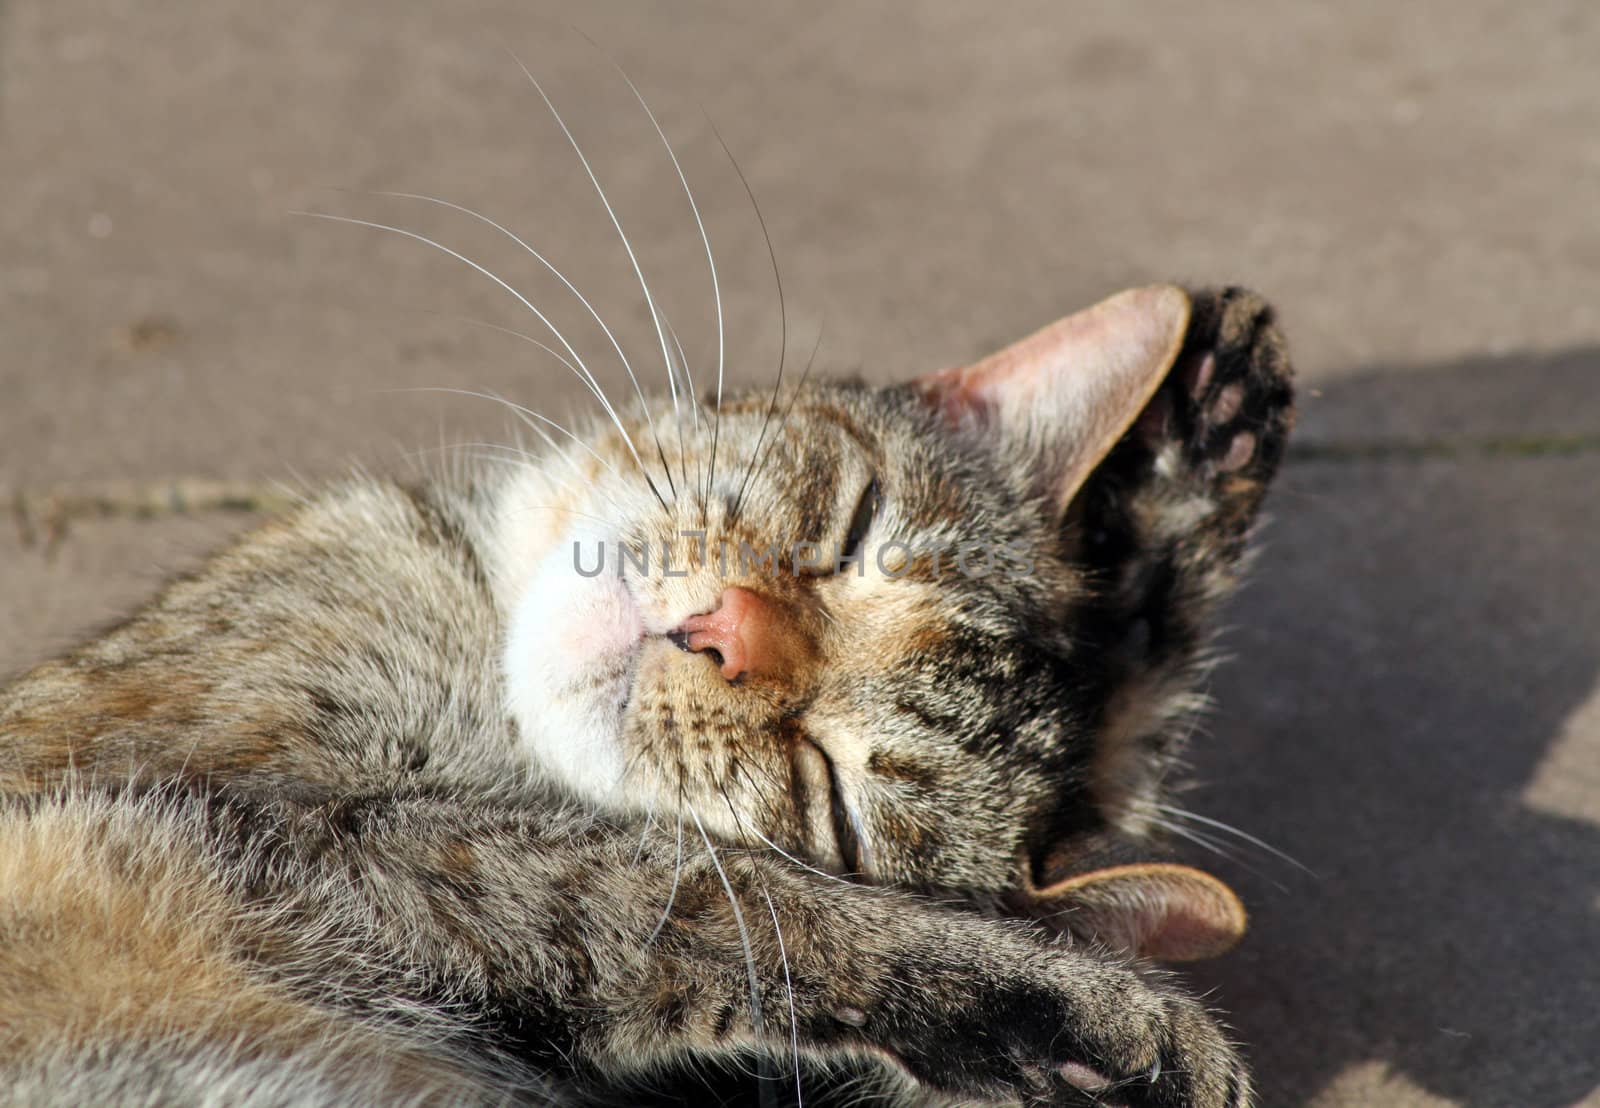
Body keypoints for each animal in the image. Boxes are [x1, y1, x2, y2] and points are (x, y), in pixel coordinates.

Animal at [0, 156, 1286, 1108]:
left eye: (834, 793)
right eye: (853, 527)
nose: (722, 632)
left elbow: (727, 890)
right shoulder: (246, 810)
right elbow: (701, 890)